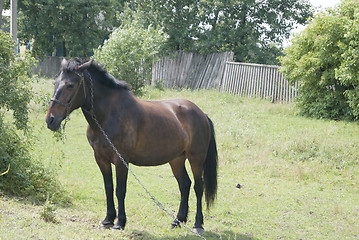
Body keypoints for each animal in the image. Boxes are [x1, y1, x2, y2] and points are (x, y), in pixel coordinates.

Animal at [45, 57, 219, 232]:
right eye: (55, 83)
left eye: (70, 85)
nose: (50, 120)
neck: (108, 115)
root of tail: (201, 114)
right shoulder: (101, 158)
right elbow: (108, 188)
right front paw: (108, 219)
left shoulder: (121, 160)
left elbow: (120, 190)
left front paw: (120, 222)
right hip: (176, 159)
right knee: (184, 184)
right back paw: (177, 220)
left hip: (196, 159)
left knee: (198, 187)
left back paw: (198, 224)